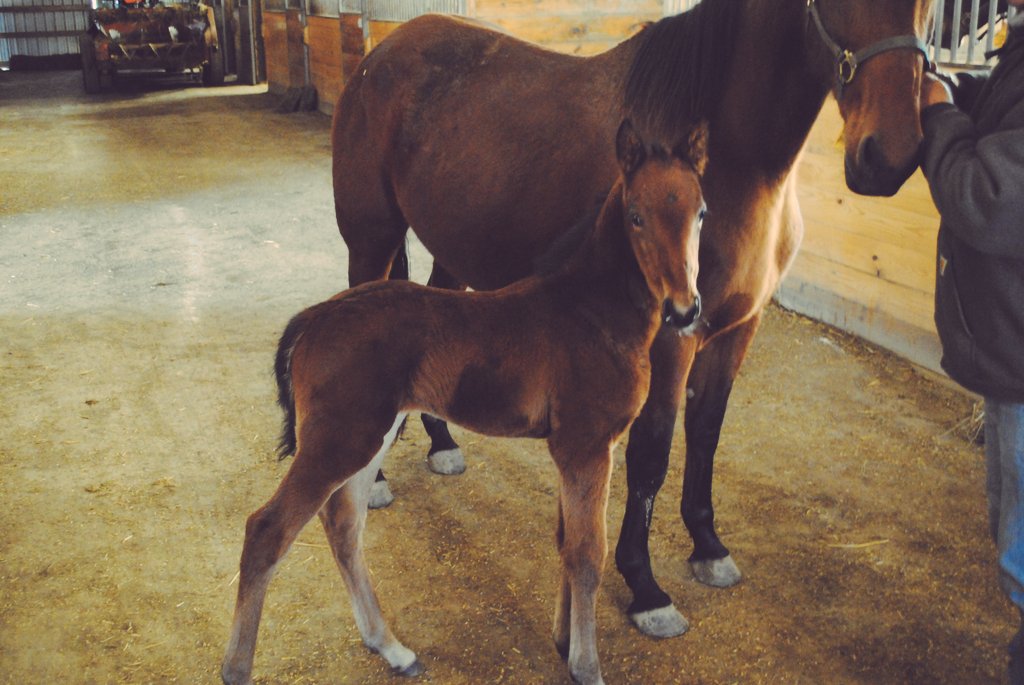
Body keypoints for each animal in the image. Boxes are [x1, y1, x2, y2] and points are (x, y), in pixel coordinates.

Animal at [221, 119, 708, 685]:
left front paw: (564, 643)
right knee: (267, 530)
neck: (590, 310)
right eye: (636, 216)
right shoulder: (587, 445)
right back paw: (237, 668)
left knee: (343, 525)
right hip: (339, 439)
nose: (684, 309)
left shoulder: (571, 452)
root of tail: (314, 318)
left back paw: (393, 649)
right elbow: (588, 553)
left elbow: (566, 542)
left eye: (701, 212)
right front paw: (587, 667)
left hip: (371, 436)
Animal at [331, 0, 935, 638]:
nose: (889, 155)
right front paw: (646, 588)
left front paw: (708, 547)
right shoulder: (674, 336)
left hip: (453, 247)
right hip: (370, 240)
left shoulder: (737, 330)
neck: (733, 167)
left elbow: (706, 432)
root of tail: (380, 53)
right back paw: (374, 480)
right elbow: (652, 450)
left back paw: (442, 444)